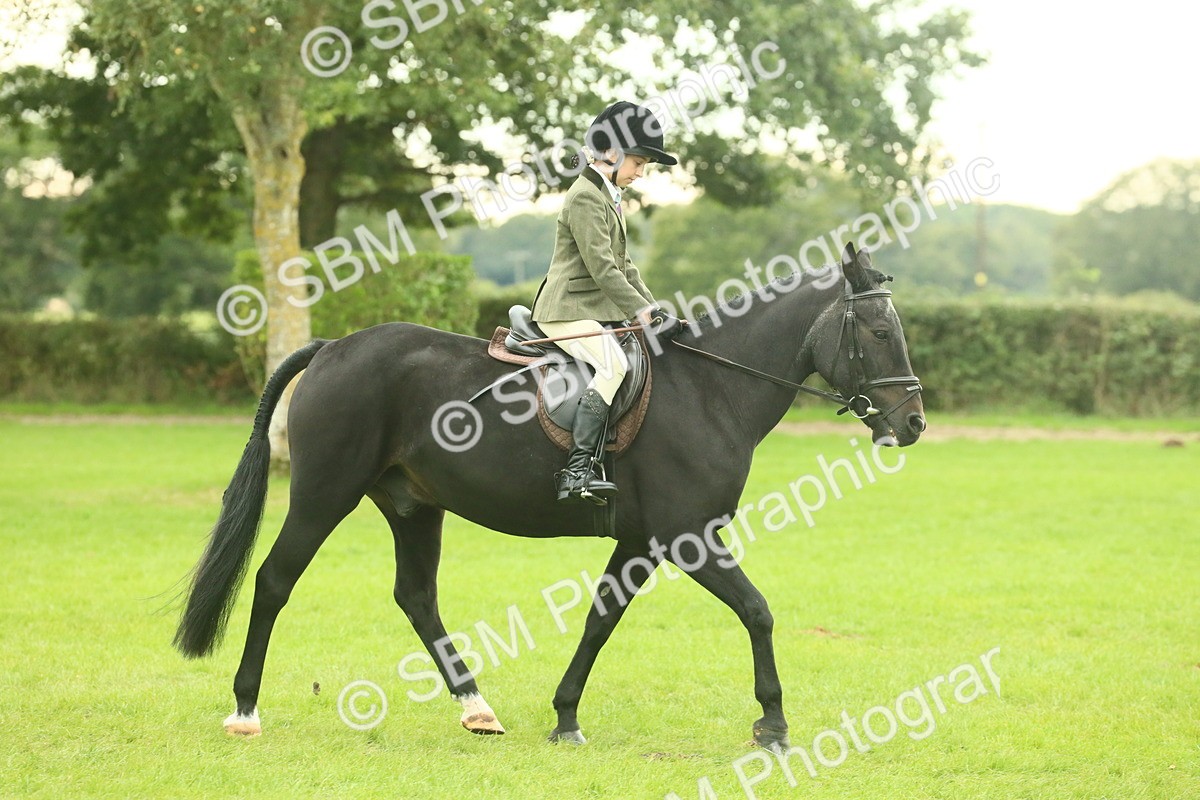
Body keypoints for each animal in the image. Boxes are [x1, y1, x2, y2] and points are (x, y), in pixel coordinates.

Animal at [173, 242, 925, 753]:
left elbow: (600, 620)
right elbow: (758, 612)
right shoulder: (687, 537)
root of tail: (332, 348)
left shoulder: (639, 541)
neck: (711, 390)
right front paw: (772, 721)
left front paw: (565, 717)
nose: (913, 423)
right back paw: (245, 710)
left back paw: (477, 708)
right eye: (880, 333)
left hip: (413, 505)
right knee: (274, 581)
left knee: (416, 596)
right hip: (325, 494)